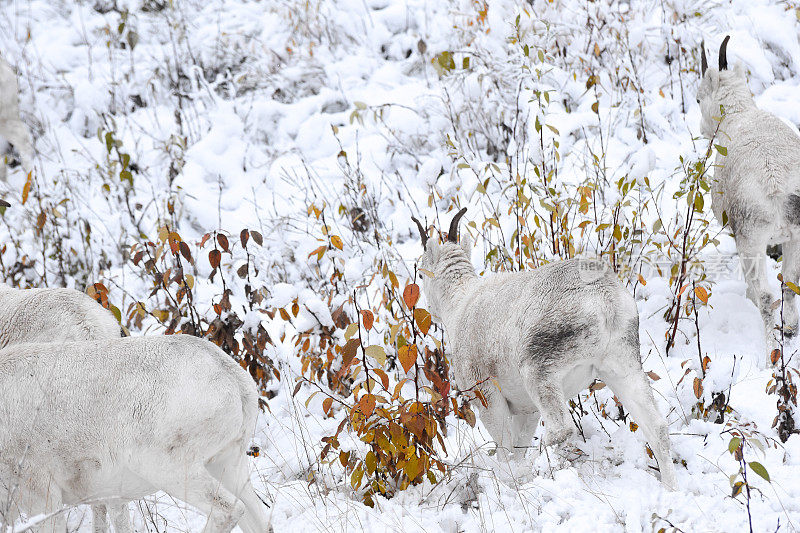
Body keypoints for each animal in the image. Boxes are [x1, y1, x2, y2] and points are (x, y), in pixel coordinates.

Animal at [412, 207, 676, 486]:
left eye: (420, 273)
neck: (461, 304)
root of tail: (603, 299)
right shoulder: (526, 409)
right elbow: (518, 447)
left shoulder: (487, 397)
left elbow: (506, 448)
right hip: (622, 368)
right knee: (658, 428)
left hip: (538, 373)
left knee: (561, 430)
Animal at [692, 34, 800, 366]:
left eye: (698, 100)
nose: (703, 130)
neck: (737, 116)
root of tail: (775, 188)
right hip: (795, 237)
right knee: (790, 282)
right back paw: (789, 330)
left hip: (752, 241)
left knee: (766, 297)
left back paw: (770, 357)